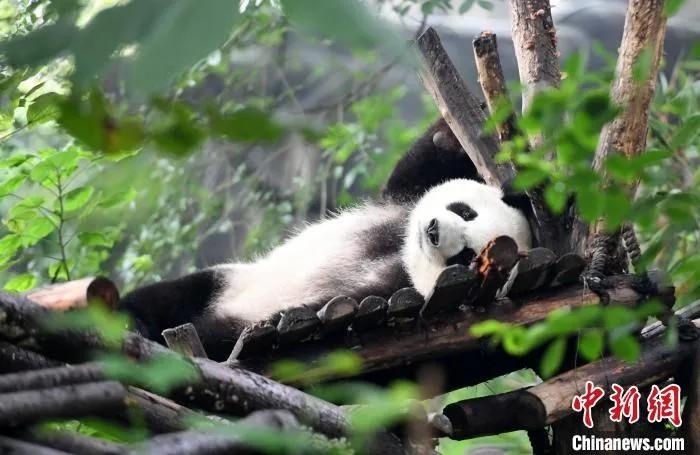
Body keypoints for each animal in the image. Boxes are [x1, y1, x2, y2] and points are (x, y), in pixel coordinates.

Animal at [119, 120, 532, 360]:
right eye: (465, 212)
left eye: (464, 256)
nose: (431, 232)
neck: (401, 251)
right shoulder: (400, 204)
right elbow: (414, 171)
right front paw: (455, 131)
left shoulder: (395, 291)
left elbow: (334, 302)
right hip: (229, 278)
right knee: (172, 294)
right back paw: (130, 319)